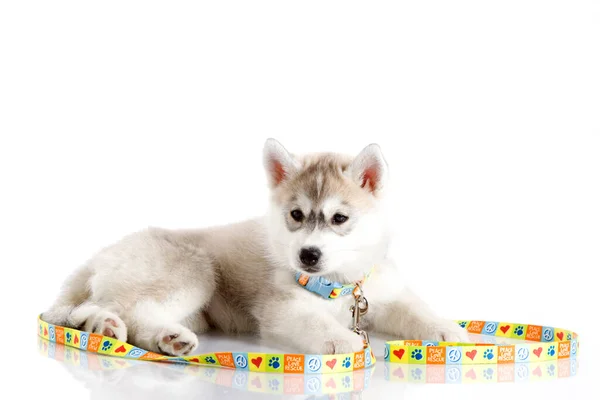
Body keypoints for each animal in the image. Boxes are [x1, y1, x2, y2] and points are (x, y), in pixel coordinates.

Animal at [44, 139, 472, 354]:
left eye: (339, 219)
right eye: (296, 215)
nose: (307, 255)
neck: (337, 283)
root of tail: (102, 253)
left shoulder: (383, 293)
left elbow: (417, 311)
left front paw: (450, 332)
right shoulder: (281, 308)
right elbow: (317, 323)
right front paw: (345, 342)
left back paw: (145, 335)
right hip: (192, 271)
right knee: (123, 308)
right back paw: (123, 328)